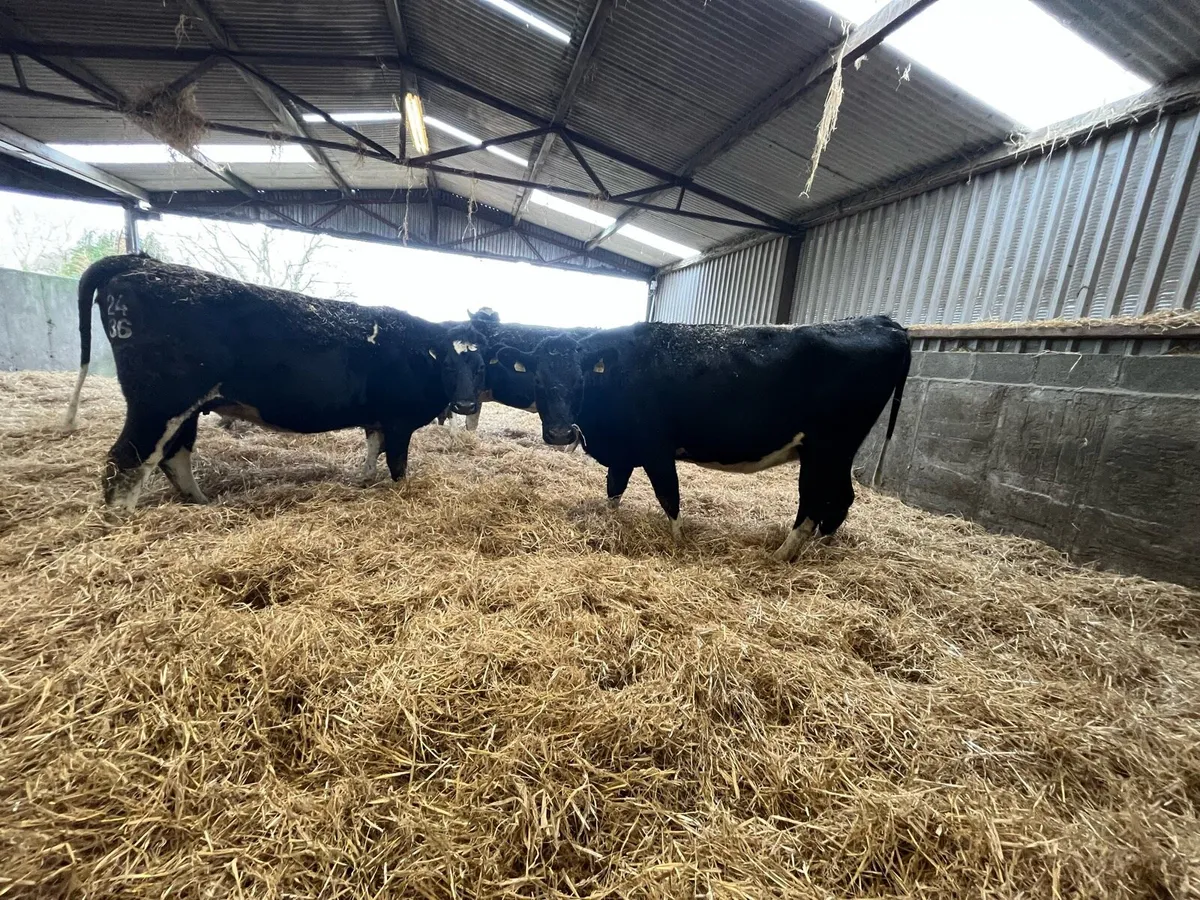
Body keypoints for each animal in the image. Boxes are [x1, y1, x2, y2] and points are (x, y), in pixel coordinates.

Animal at [65, 254, 488, 509]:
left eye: (480, 365)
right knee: (126, 460)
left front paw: (363, 480)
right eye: (448, 365)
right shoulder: (400, 422)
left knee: (174, 454)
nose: (466, 404)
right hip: (158, 404)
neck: (417, 351)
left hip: (185, 409)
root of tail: (144, 261)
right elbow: (397, 466)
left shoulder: (378, 420)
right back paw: (122, 521)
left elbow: (372, 453)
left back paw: (201, 502)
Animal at [494, 315, 911, 560]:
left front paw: (678, 543)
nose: (560, 432)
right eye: (537, 379)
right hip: (836, 453)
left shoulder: (656, 449)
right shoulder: (624, 451)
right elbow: (614, 490)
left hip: (826, 448)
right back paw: (822, 548)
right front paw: (610, 524)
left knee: (814, 501)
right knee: (840, 499)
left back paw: (780, 555)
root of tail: (881, 321)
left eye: (579, 379)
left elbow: (669, 496)